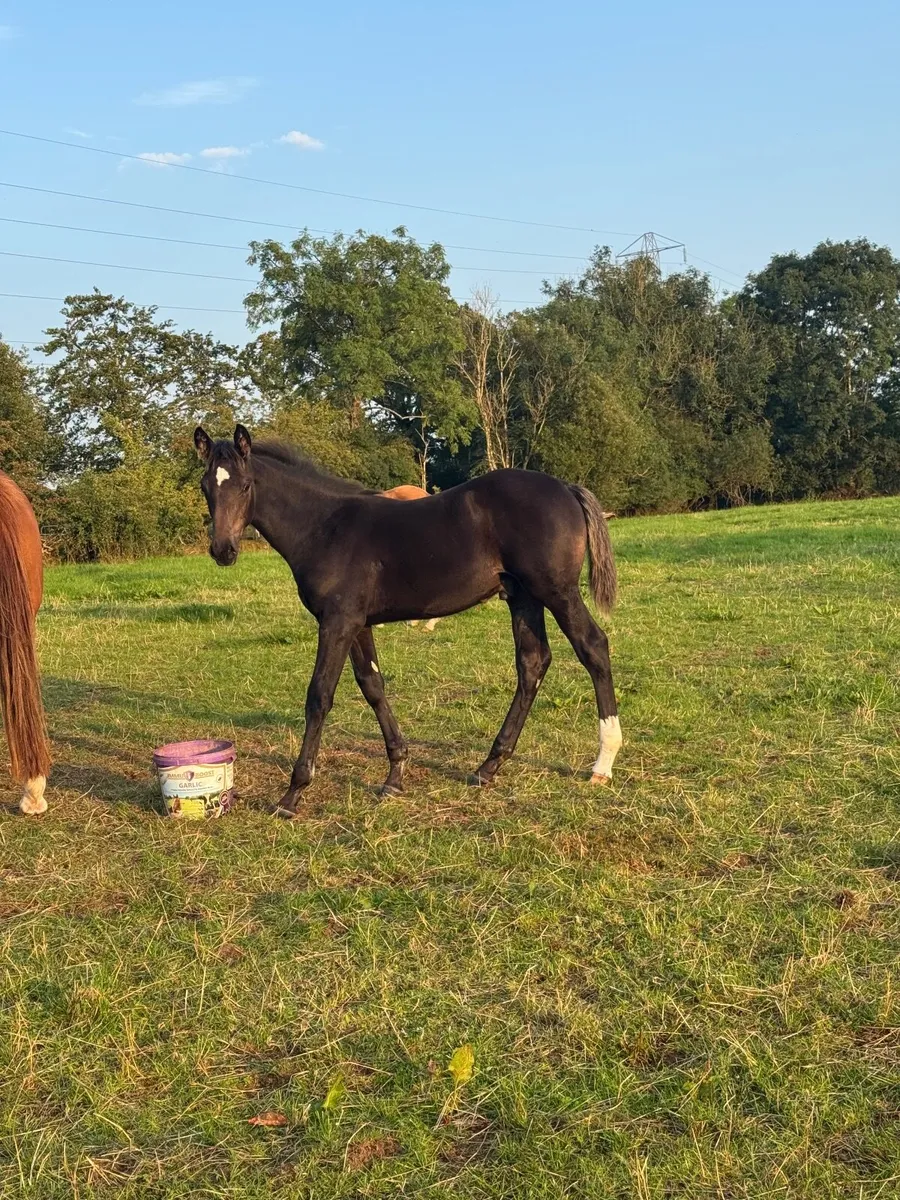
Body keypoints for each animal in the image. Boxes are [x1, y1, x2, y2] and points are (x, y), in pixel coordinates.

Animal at [194, 425, 622, 816]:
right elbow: (372, 686)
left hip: (556, 591)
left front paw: (292, 793)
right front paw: (395, 775)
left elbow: (319, 696)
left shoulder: (336, 622)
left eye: (246, 485)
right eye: (206, 487)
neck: (325, 527)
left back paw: (603, 763)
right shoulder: (358, 623)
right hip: (523, 597)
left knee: (593, 646)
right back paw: (488, 766)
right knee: (533, 663)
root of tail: (565, 487)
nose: (223, 550)